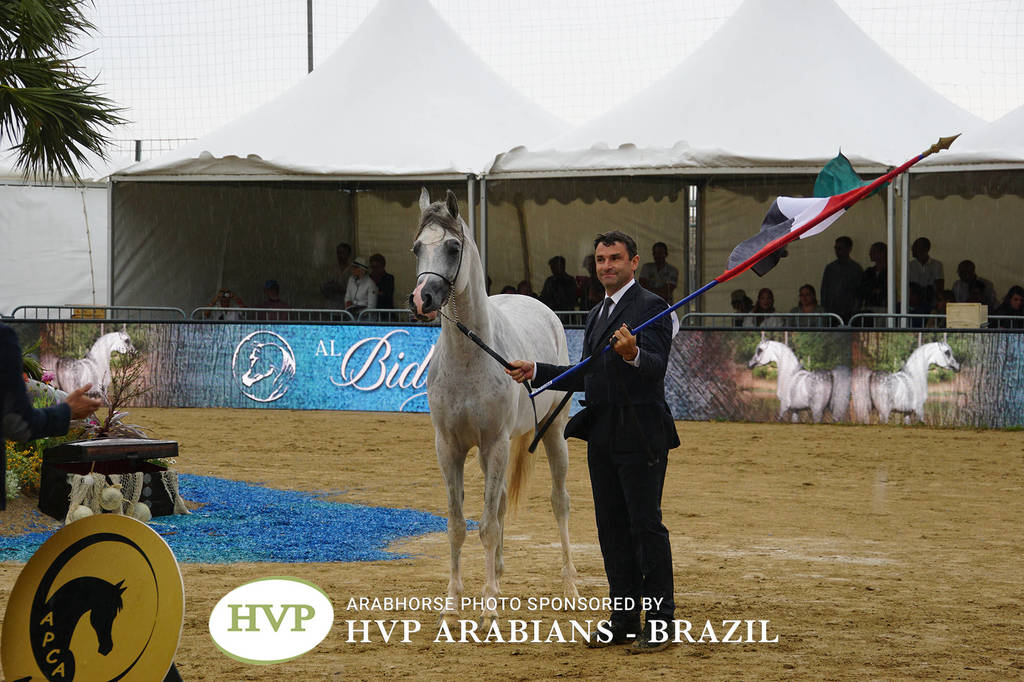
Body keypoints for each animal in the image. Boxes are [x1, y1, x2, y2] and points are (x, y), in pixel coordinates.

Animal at [409, 188, 578, 625]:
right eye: (417, 248)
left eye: (452, 247)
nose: (422, 299)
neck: (470, 358)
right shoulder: (449, 448)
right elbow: (459, 524)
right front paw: (453, 604)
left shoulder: (496, 443)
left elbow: (486, 525)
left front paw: (487, 610)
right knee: (500, 505)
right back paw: (499, 576)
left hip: (552, 436)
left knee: (559, 503)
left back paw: (570, 586)